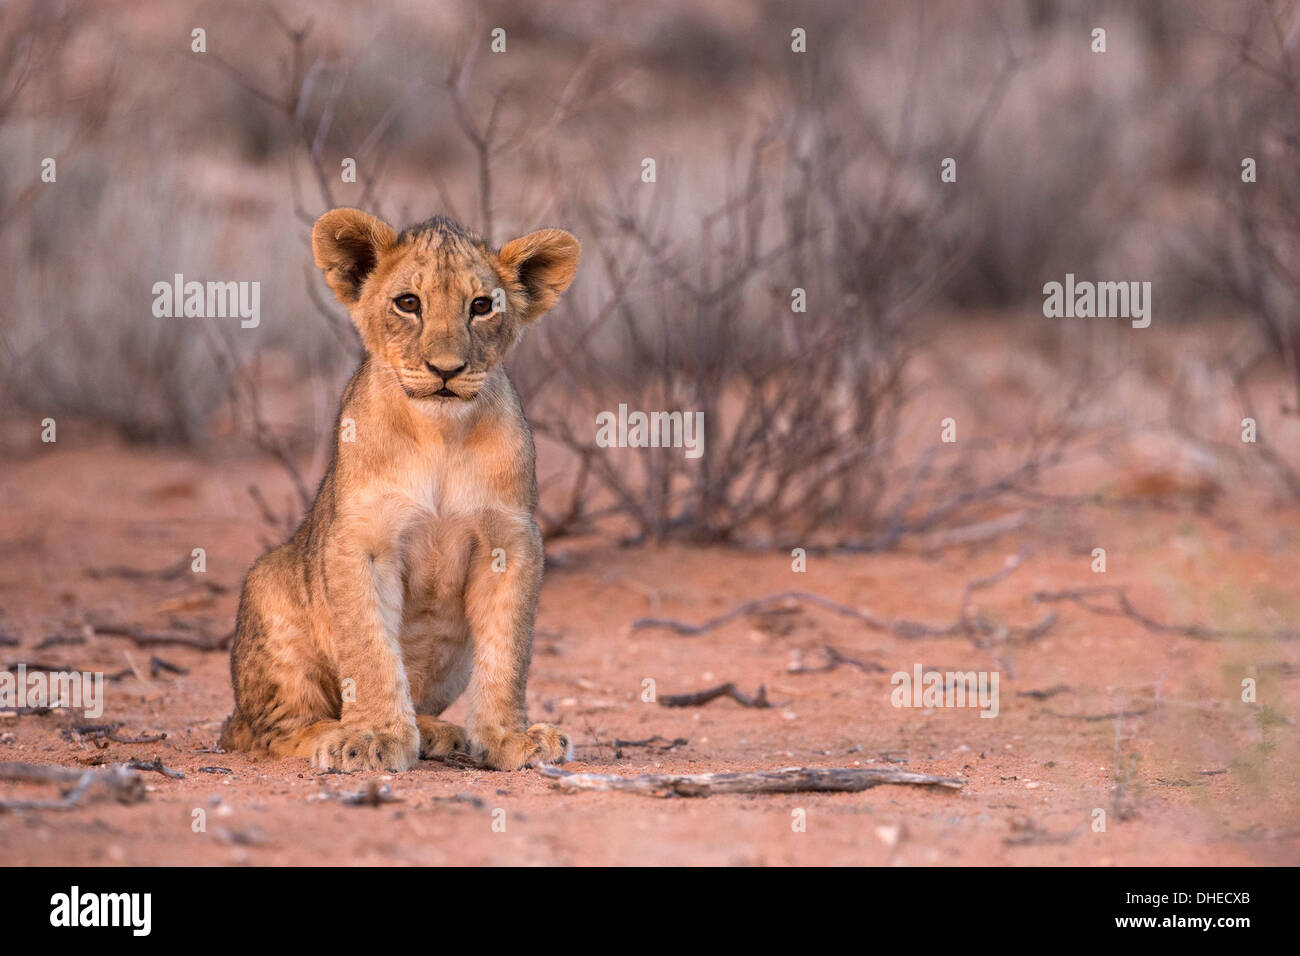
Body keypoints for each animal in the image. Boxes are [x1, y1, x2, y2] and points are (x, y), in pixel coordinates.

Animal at [218, 208, 579, 772]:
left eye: (481, 306)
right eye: (408, 303)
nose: (446, 370)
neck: (439, 433)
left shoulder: (511, 541)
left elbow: (509, 651)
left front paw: (510, 738)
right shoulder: (360, 540)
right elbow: (369, 651)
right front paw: (373, 737)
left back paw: (436, 732)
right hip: (267, 583)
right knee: (270, 731)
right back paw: (333, 733)